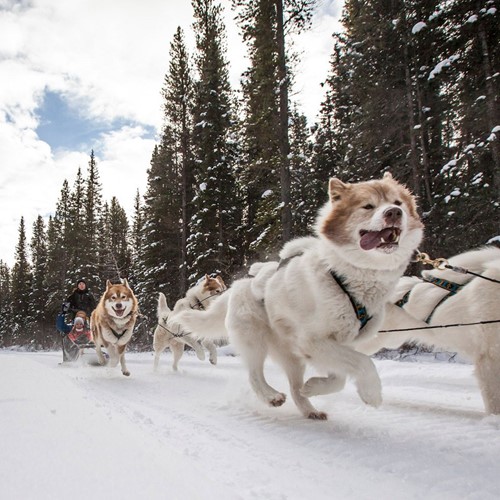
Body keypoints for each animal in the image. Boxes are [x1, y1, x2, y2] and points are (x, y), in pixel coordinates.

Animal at [178, 174, 424, 420]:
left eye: (398, 202)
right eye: (368, 206)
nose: (394, 212)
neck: (344, 279)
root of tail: (238, 286)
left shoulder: (336, 345)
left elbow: (340, 377)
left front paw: (314, 386)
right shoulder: (312, 340)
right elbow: (364, 362)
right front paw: (372, 393)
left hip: (292, 357)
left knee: (294, 387)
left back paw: (309, 408)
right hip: (255, 340)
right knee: (254, 375)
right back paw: (270, 396)